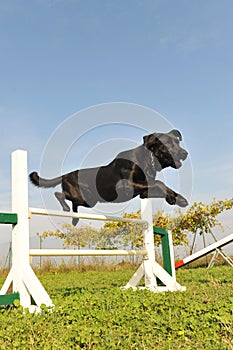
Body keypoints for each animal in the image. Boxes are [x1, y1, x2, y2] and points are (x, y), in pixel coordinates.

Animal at [29, 130, 189, 226]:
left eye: (178, 142)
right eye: (168, 143)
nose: (185, 153)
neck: (147, 160)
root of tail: (66, 174)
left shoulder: (144, 192)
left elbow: (160, 185)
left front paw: (178, 199)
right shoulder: (126, 186)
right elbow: (159, 183)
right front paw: (174, 198)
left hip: (89, 201)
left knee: (72, 202)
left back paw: (75, 219)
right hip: (83, 196)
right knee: (59, 194)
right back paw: (66, 209)